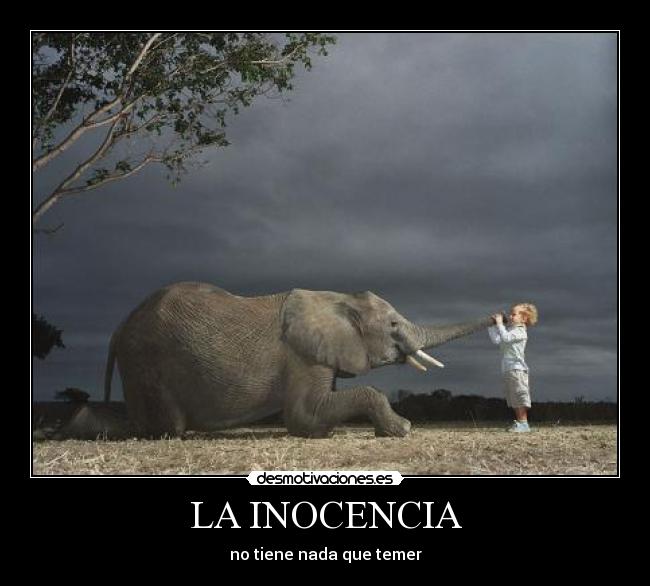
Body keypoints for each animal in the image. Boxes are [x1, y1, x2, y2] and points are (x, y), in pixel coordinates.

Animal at [104, 282, 496, 438]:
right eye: (394, 325)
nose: (500, 316)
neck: (339, 300)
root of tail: (118, 327)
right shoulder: (301, 353)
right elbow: (302, 415)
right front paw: (403, 429)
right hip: (145, 362)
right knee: (167, 426)